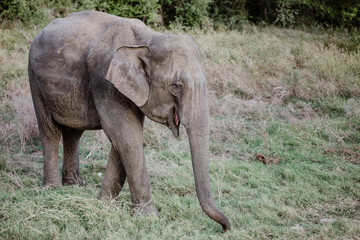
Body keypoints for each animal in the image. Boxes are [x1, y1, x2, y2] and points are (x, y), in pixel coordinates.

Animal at [28, 10, 231, 231]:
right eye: (177, 86)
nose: (225, 228)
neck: (148, 39)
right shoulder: (105, 81)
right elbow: (127, 137)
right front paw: (148, 217)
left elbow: (122, 140)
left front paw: (104, 204)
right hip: (34, 79)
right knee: (50, 130)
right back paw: (52, 188)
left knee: (74, 132)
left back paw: (75, 185)